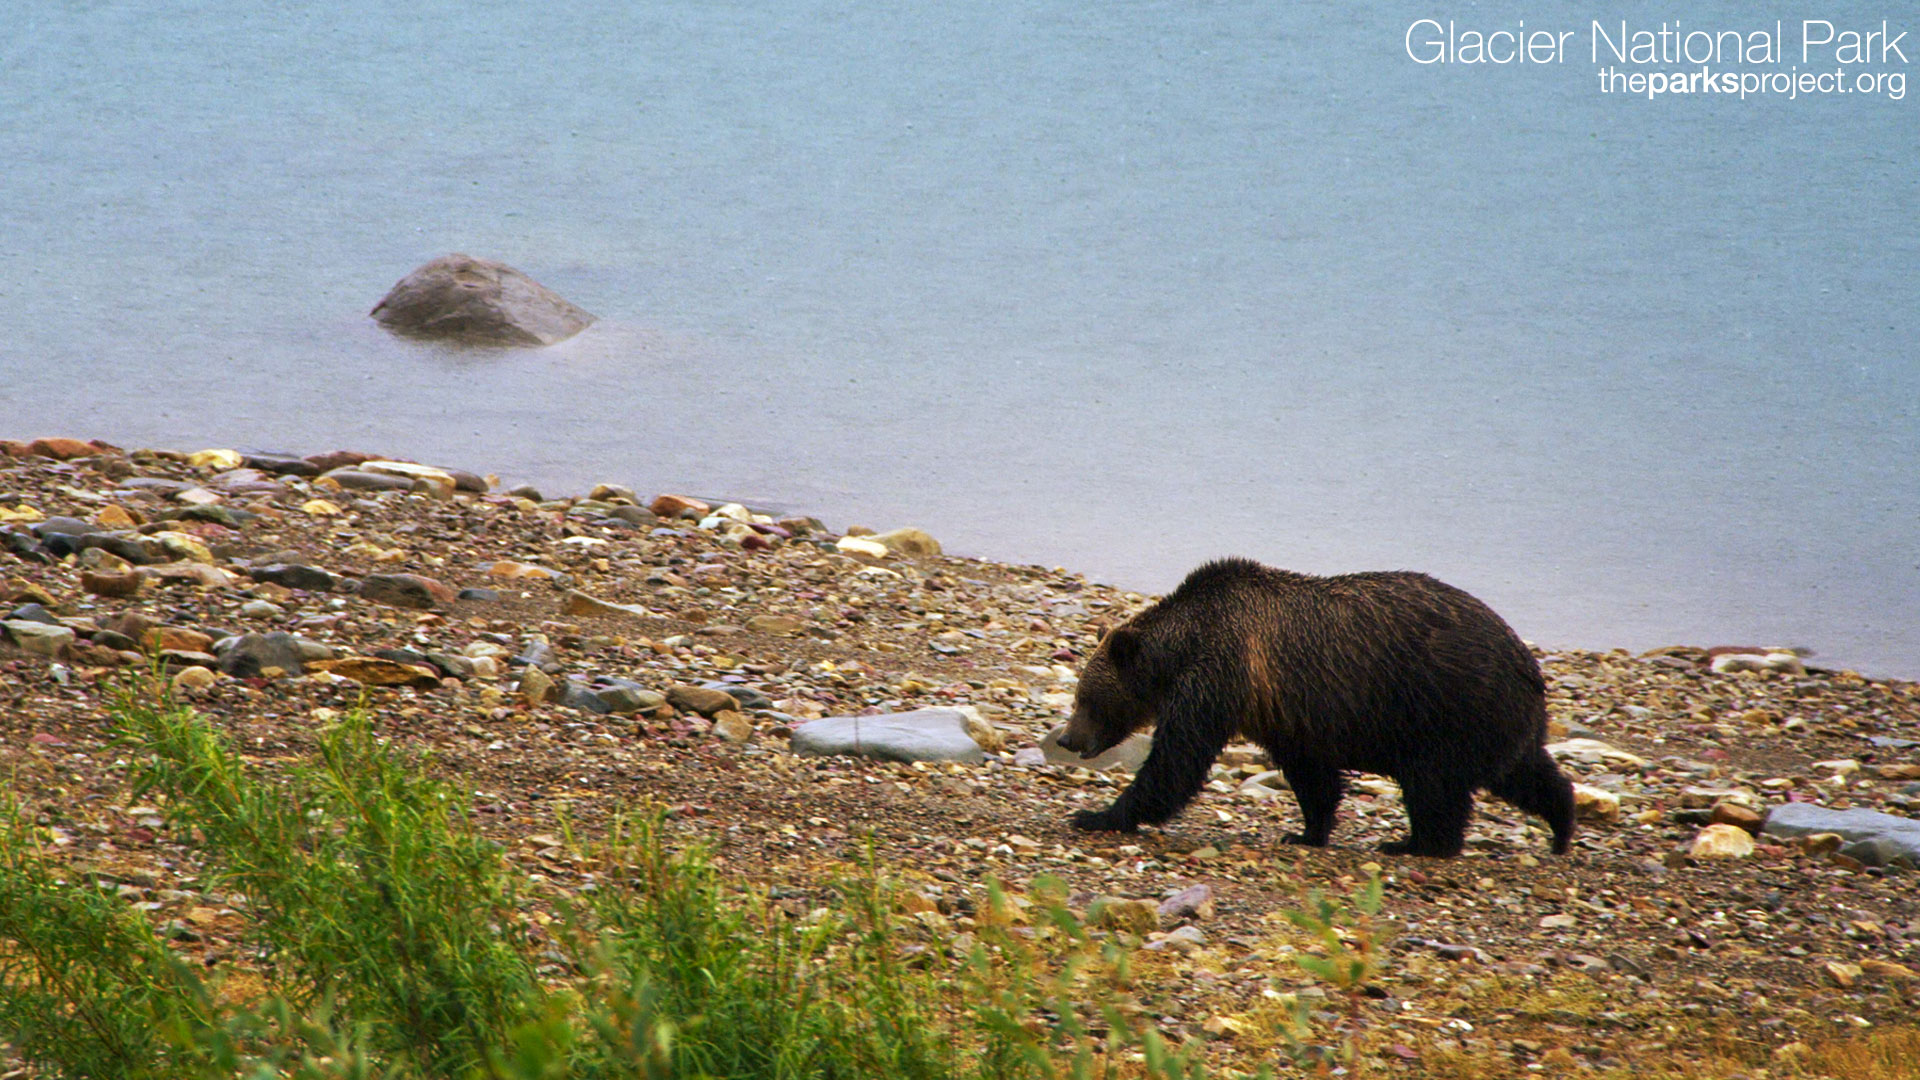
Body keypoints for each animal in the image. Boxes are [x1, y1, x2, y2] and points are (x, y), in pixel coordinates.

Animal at [1055, 557, 1574, 857]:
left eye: (1086, 699)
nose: (1067, 738)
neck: (1183, 646)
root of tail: (1526, 661)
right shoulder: (1284, 711)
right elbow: (1311, 775)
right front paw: (1306, 831)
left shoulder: (1220, 674)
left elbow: (1176, 761)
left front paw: (1100, 815)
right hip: (1496, 719)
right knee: (1523, 771)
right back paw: (1562, 826)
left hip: (1448, 707)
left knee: (1434, 783)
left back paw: (1415, 844)